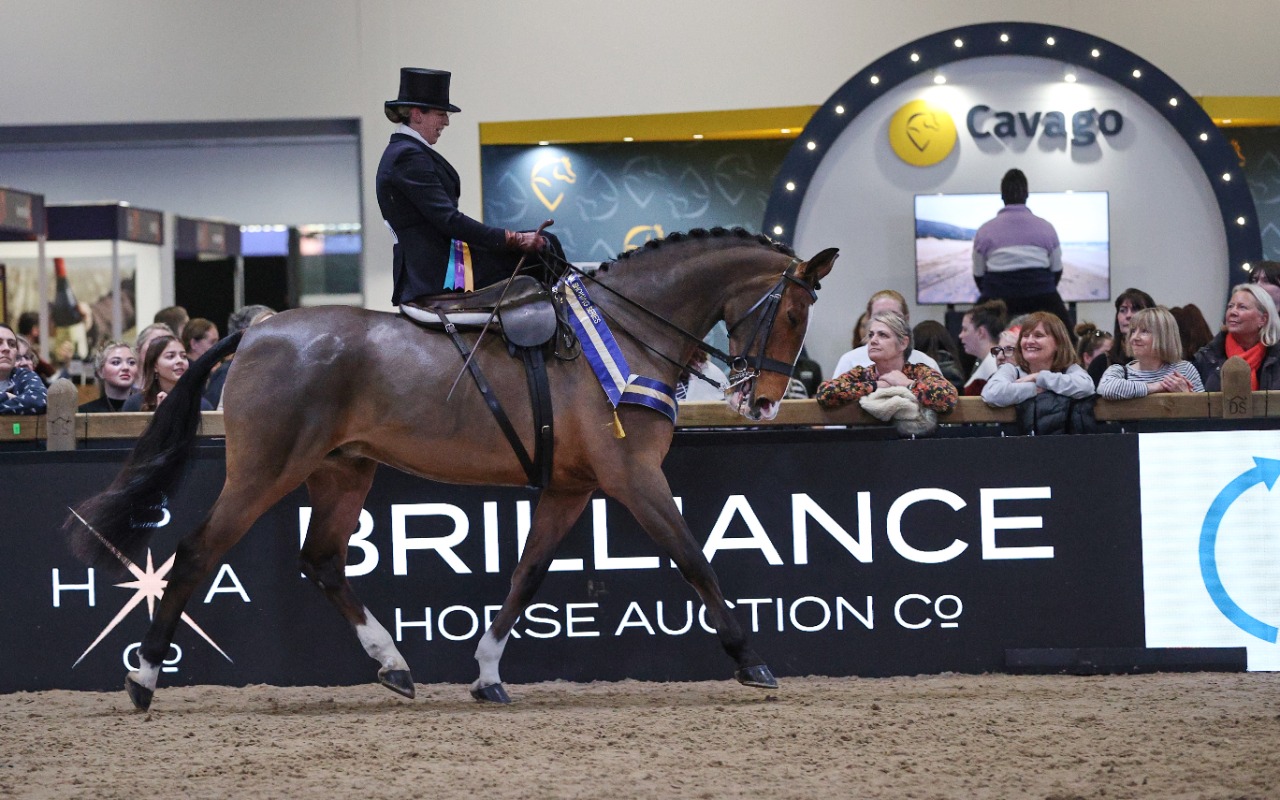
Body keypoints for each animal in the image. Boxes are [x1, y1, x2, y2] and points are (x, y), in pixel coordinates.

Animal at [67, 227, 839, 706]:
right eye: (792, 314)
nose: (765, 402)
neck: (626, 333)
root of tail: (257, 330)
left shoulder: (572, 487)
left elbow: (527, 575)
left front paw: (488, 672)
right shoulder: (632, 478)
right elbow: (694, 560)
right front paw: (751, 660)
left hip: (342, 472)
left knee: (323, 561)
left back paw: (394, 665)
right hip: (265, 472)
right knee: (198, 553)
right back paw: (143, 677)